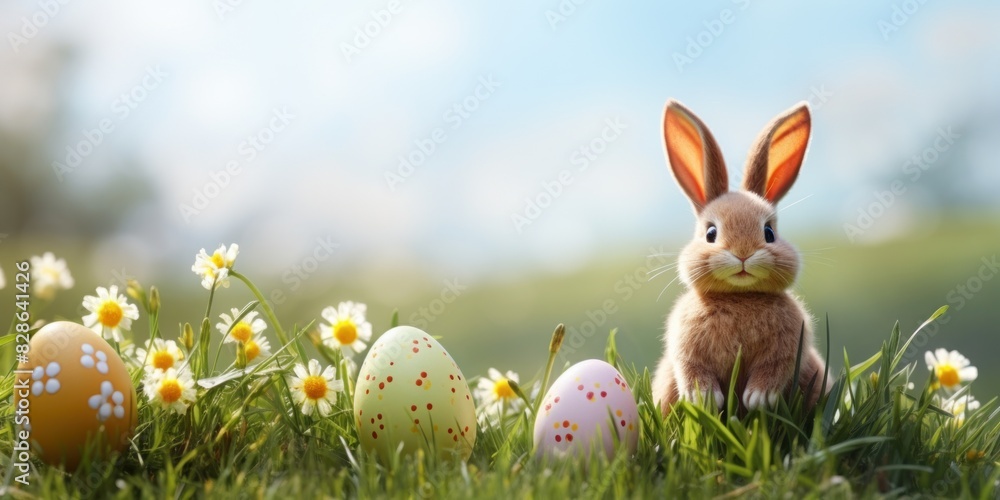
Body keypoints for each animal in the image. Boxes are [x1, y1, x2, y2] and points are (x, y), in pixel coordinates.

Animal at [651, 99, 828, 414]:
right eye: (710, 233)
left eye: (769, 232)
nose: (743, 254)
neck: (739, 297)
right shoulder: (685, 347)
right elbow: (692, 368)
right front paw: (705, 399)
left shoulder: (787, 348)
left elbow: (774, 369)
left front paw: (758, 399)